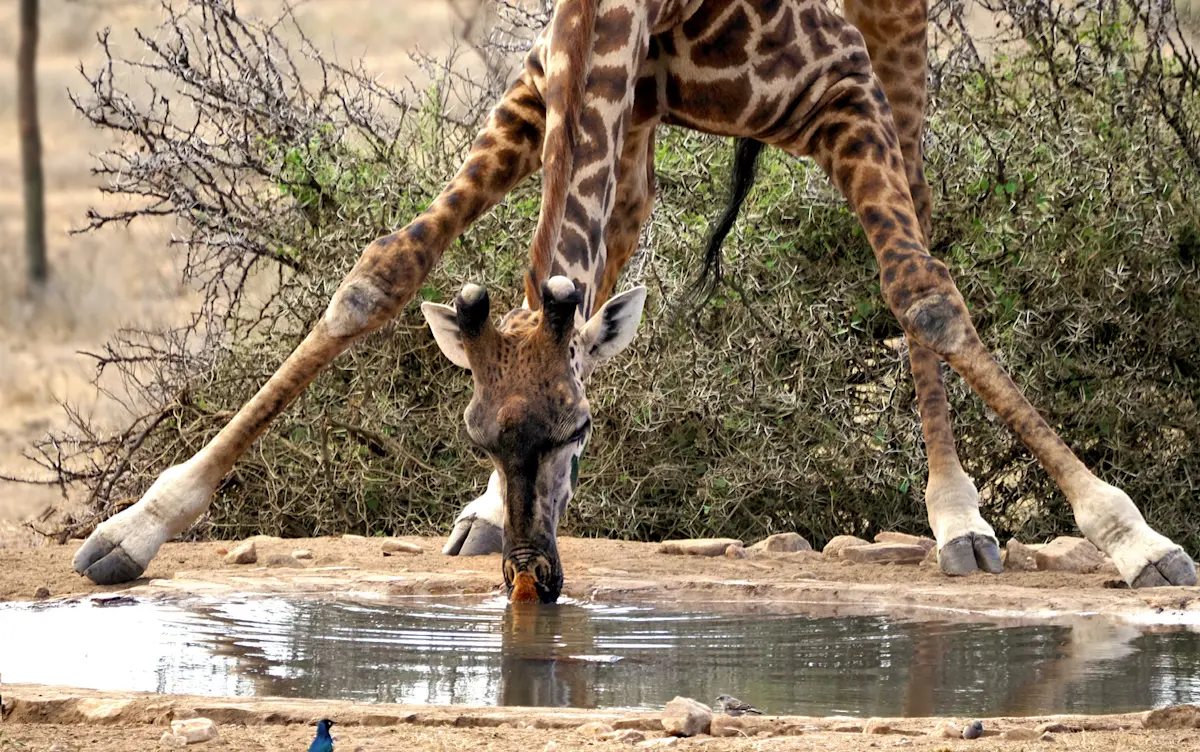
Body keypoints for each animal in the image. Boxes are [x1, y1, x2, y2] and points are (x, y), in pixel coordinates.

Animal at [72, 0, 1197, 602]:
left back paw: (959, 514)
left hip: (889, 41)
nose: (535, 581)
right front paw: (137, 525)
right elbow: (379, 273)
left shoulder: (836, 88)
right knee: (604, 266)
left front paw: (1131, 534)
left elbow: (924, 293)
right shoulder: (547, 82)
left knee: (918, 235)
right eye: (476, 432)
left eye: (580, 430)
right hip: (644, 123)